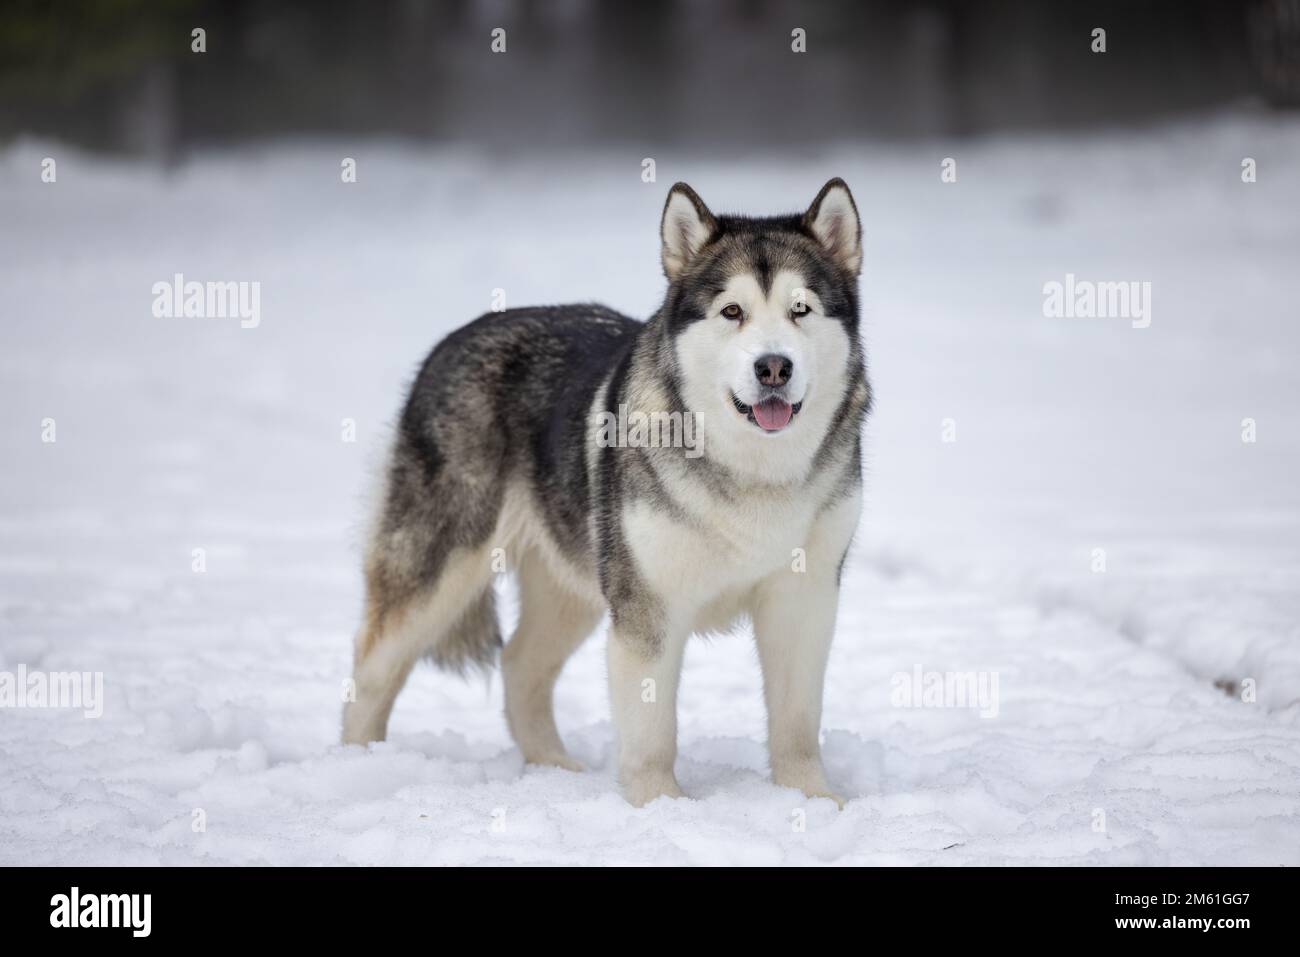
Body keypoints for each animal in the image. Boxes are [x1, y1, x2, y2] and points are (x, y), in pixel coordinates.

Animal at [345, 179, 873, 806]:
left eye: (800, 310)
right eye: (732, 312)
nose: (774, 367)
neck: (753, 470)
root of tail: (452, 340)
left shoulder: (803, 598)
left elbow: (797, 723)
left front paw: (811, 799)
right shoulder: (647, 608)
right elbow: (652, 732)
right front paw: (660, 806)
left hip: (571, 584)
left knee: (520, 664)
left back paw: (553, 770)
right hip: (440, 571)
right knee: (371, 667)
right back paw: (356, 767)